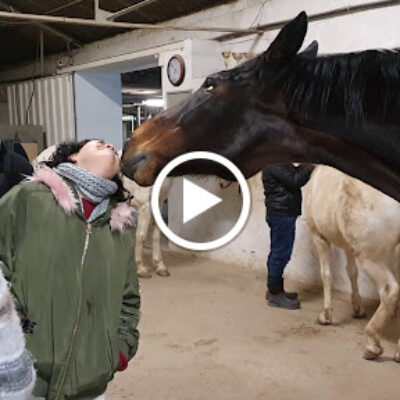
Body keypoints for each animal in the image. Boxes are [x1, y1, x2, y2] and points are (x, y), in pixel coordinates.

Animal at [34, 145, 172, 280]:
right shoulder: (145, 206)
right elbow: (141, 236)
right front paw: (141, 269)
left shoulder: (158, 205)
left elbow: (156, 236)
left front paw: (160, 266)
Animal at [304, 166, 398, 362]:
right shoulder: (349, 246)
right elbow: (352, 272)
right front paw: (357, 309)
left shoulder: (319, 237)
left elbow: (326, 274)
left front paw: (326, 315)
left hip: (371, 258)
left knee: (389, 291)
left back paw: (372, 343)